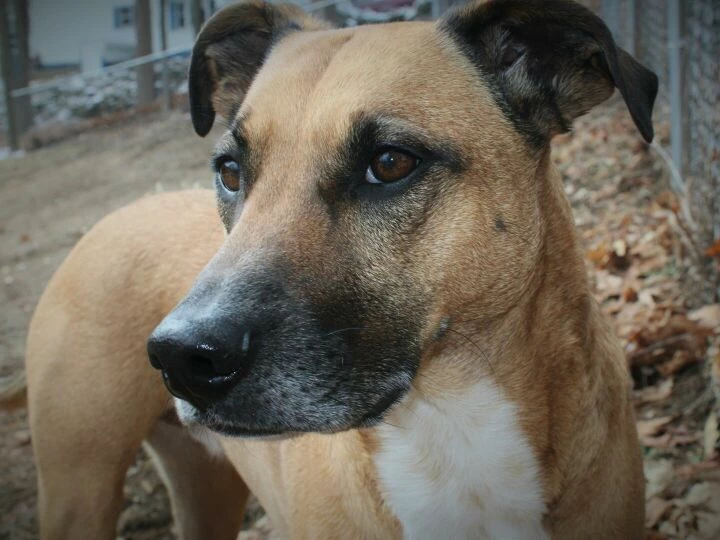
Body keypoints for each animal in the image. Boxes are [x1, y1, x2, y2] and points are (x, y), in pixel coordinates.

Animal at [1, 0, 660, 536]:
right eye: (230, 171)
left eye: (390, 163)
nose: (181, 357)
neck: (449, 430)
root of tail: (107, 220)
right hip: (78, 487)